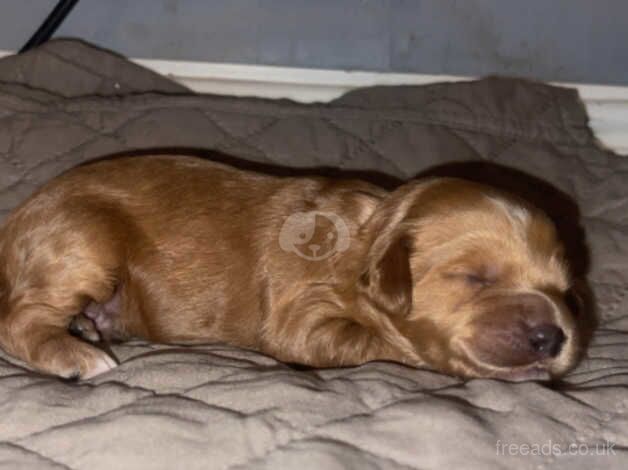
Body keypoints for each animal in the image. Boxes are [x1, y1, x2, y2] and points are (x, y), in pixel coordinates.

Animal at [0, 156, 580, 380]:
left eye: (564, 290)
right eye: (476, 278)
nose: (552, 338)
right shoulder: (302, 315)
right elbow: (378, 342)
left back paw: (87, 326)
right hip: (84, 239)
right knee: (17, 319)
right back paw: (78, 353)